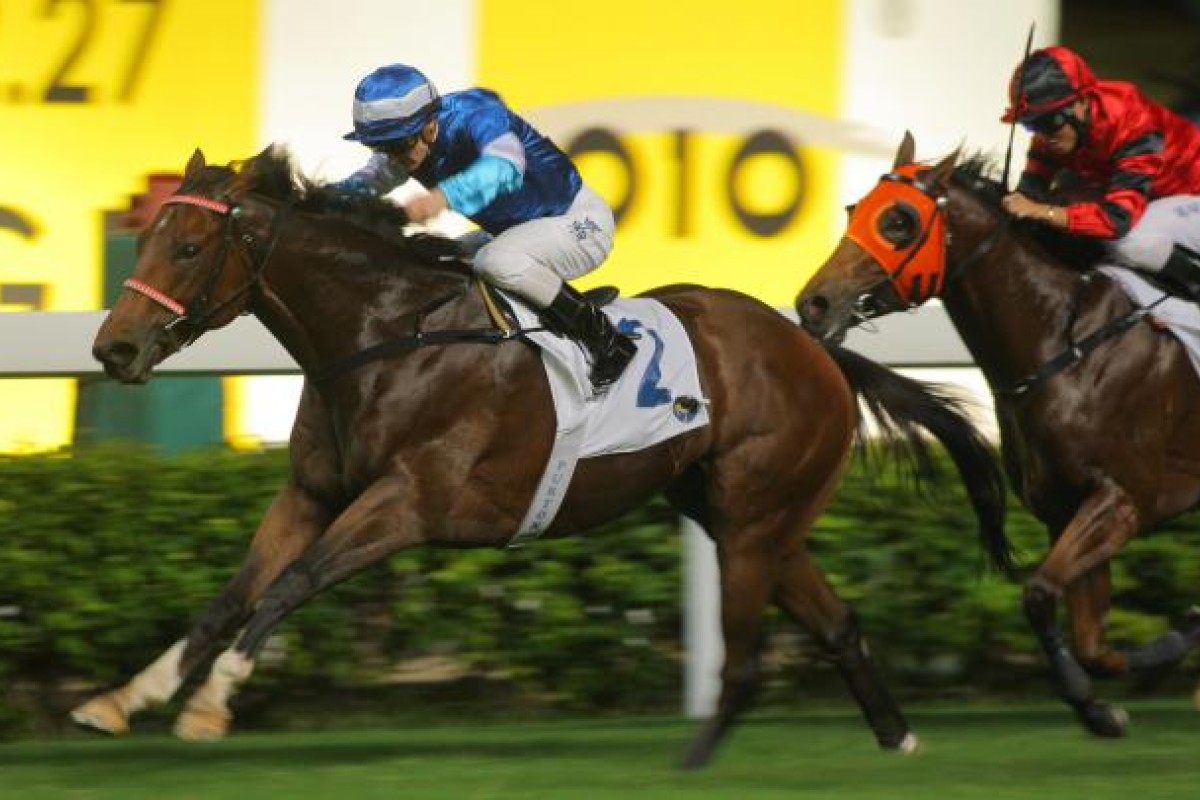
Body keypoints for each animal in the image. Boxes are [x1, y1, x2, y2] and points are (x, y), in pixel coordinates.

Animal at [77, 145, 1012, 767]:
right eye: (147, 240)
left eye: (189, 248)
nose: (113, 349)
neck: (385, 335)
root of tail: (813, 344)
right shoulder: (310, 493)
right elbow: (232, 595)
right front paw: (124, 698)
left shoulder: (408, 503)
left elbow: (290, 586)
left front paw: (209, 707)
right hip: (737, 511)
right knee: (836, 620)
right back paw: (897, 737)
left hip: (756, 510)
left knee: (767, 641)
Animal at [801, 131, 1200, 738]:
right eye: (853, 210)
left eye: (899, 221)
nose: (813, 303)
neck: (1063, 342)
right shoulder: (1068, 506)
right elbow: (1089, 640)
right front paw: (1106, 701)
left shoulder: (1125, 499)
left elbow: (1037, 595)